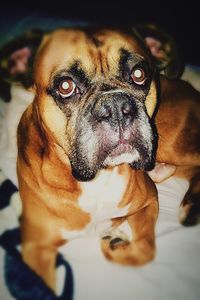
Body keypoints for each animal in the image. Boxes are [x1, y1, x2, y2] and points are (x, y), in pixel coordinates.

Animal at [0, 25, 199, 292]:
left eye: (138, 74)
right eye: (65, 86)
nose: (115, 106)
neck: (96, 180)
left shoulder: (149, 201)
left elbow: (145, 248)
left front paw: (114, 245)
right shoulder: (36, 248)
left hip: (171, 142)